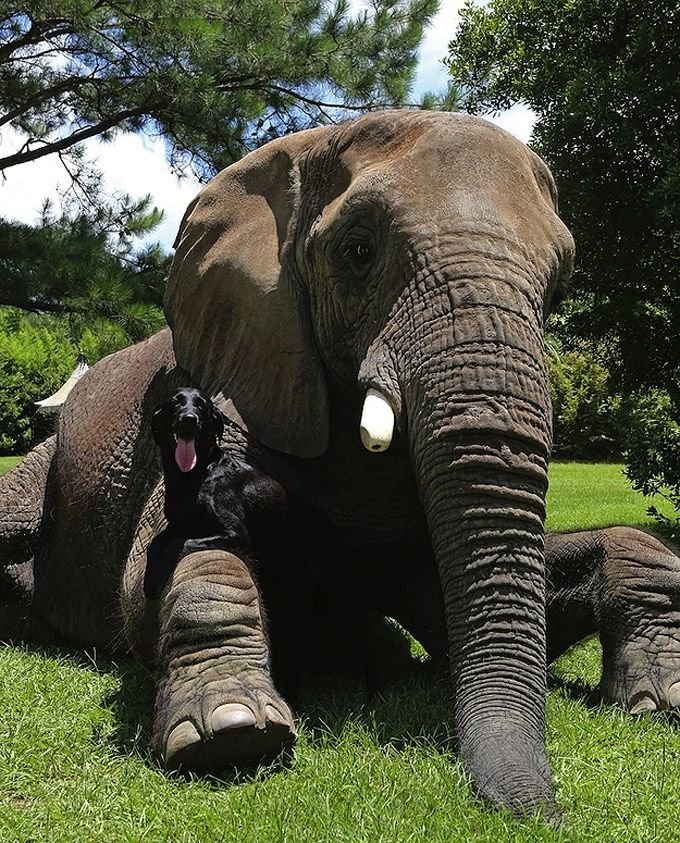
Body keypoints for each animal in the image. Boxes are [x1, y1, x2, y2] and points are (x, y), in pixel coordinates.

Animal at [145, 390, 286, 600]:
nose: (189, 419)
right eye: (176, 402)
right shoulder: (175, 524)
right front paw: (148, 580)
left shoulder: (236, 533)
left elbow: (180, 543)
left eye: (202, 405)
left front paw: (160, 575)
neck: (192, 476)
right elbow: (153, 543)